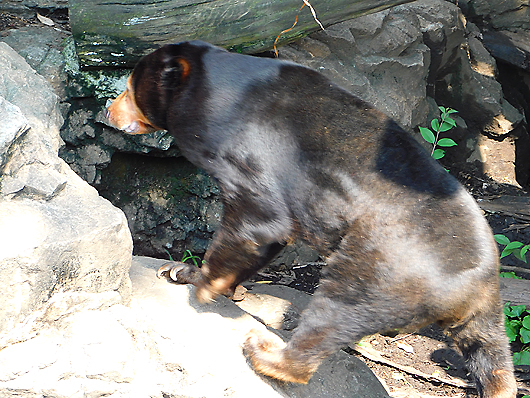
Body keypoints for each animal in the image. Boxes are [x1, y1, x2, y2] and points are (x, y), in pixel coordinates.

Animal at [105, 41, 512, 398]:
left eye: (128, 88)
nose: (108, 111)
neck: (220, 99)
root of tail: (466, 289)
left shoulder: (253, 151)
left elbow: (257, 218)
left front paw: (195, 279)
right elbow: (266, 237)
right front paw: (199, 276)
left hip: (381, 270)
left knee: (335, 313)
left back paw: (263, 352)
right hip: (485, 315)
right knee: (493, 357)